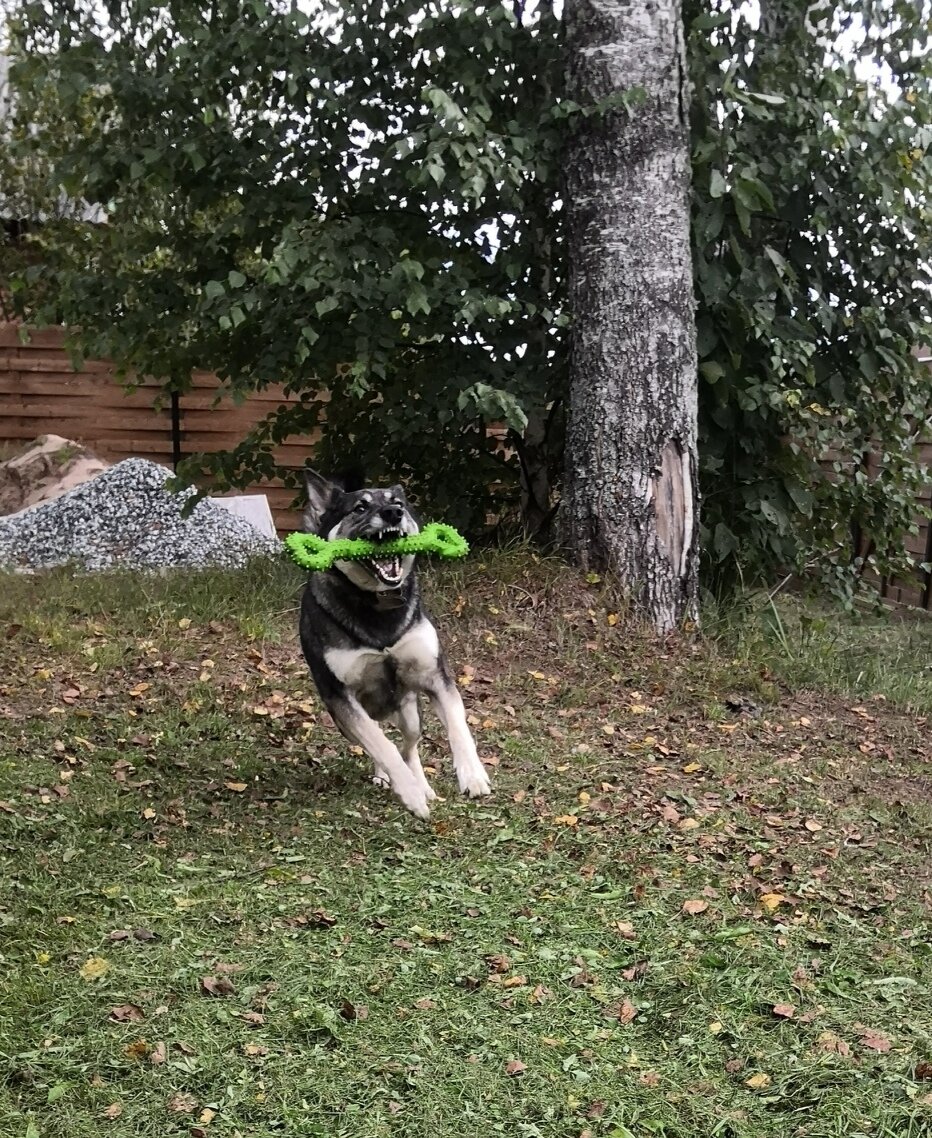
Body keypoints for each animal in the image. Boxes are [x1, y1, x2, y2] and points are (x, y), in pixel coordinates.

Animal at [298, 468, 491, 819]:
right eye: (360, 507)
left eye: (398, 503)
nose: (393, 514)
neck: (377, 605)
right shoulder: (340, 698)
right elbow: (380, 744)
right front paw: (409, 792)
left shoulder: (436, 678)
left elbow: (459, 728)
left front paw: (472, 775)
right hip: (347, 721)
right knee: (379, 741)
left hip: (411, 714)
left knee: (409, 746)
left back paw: (423, 785)